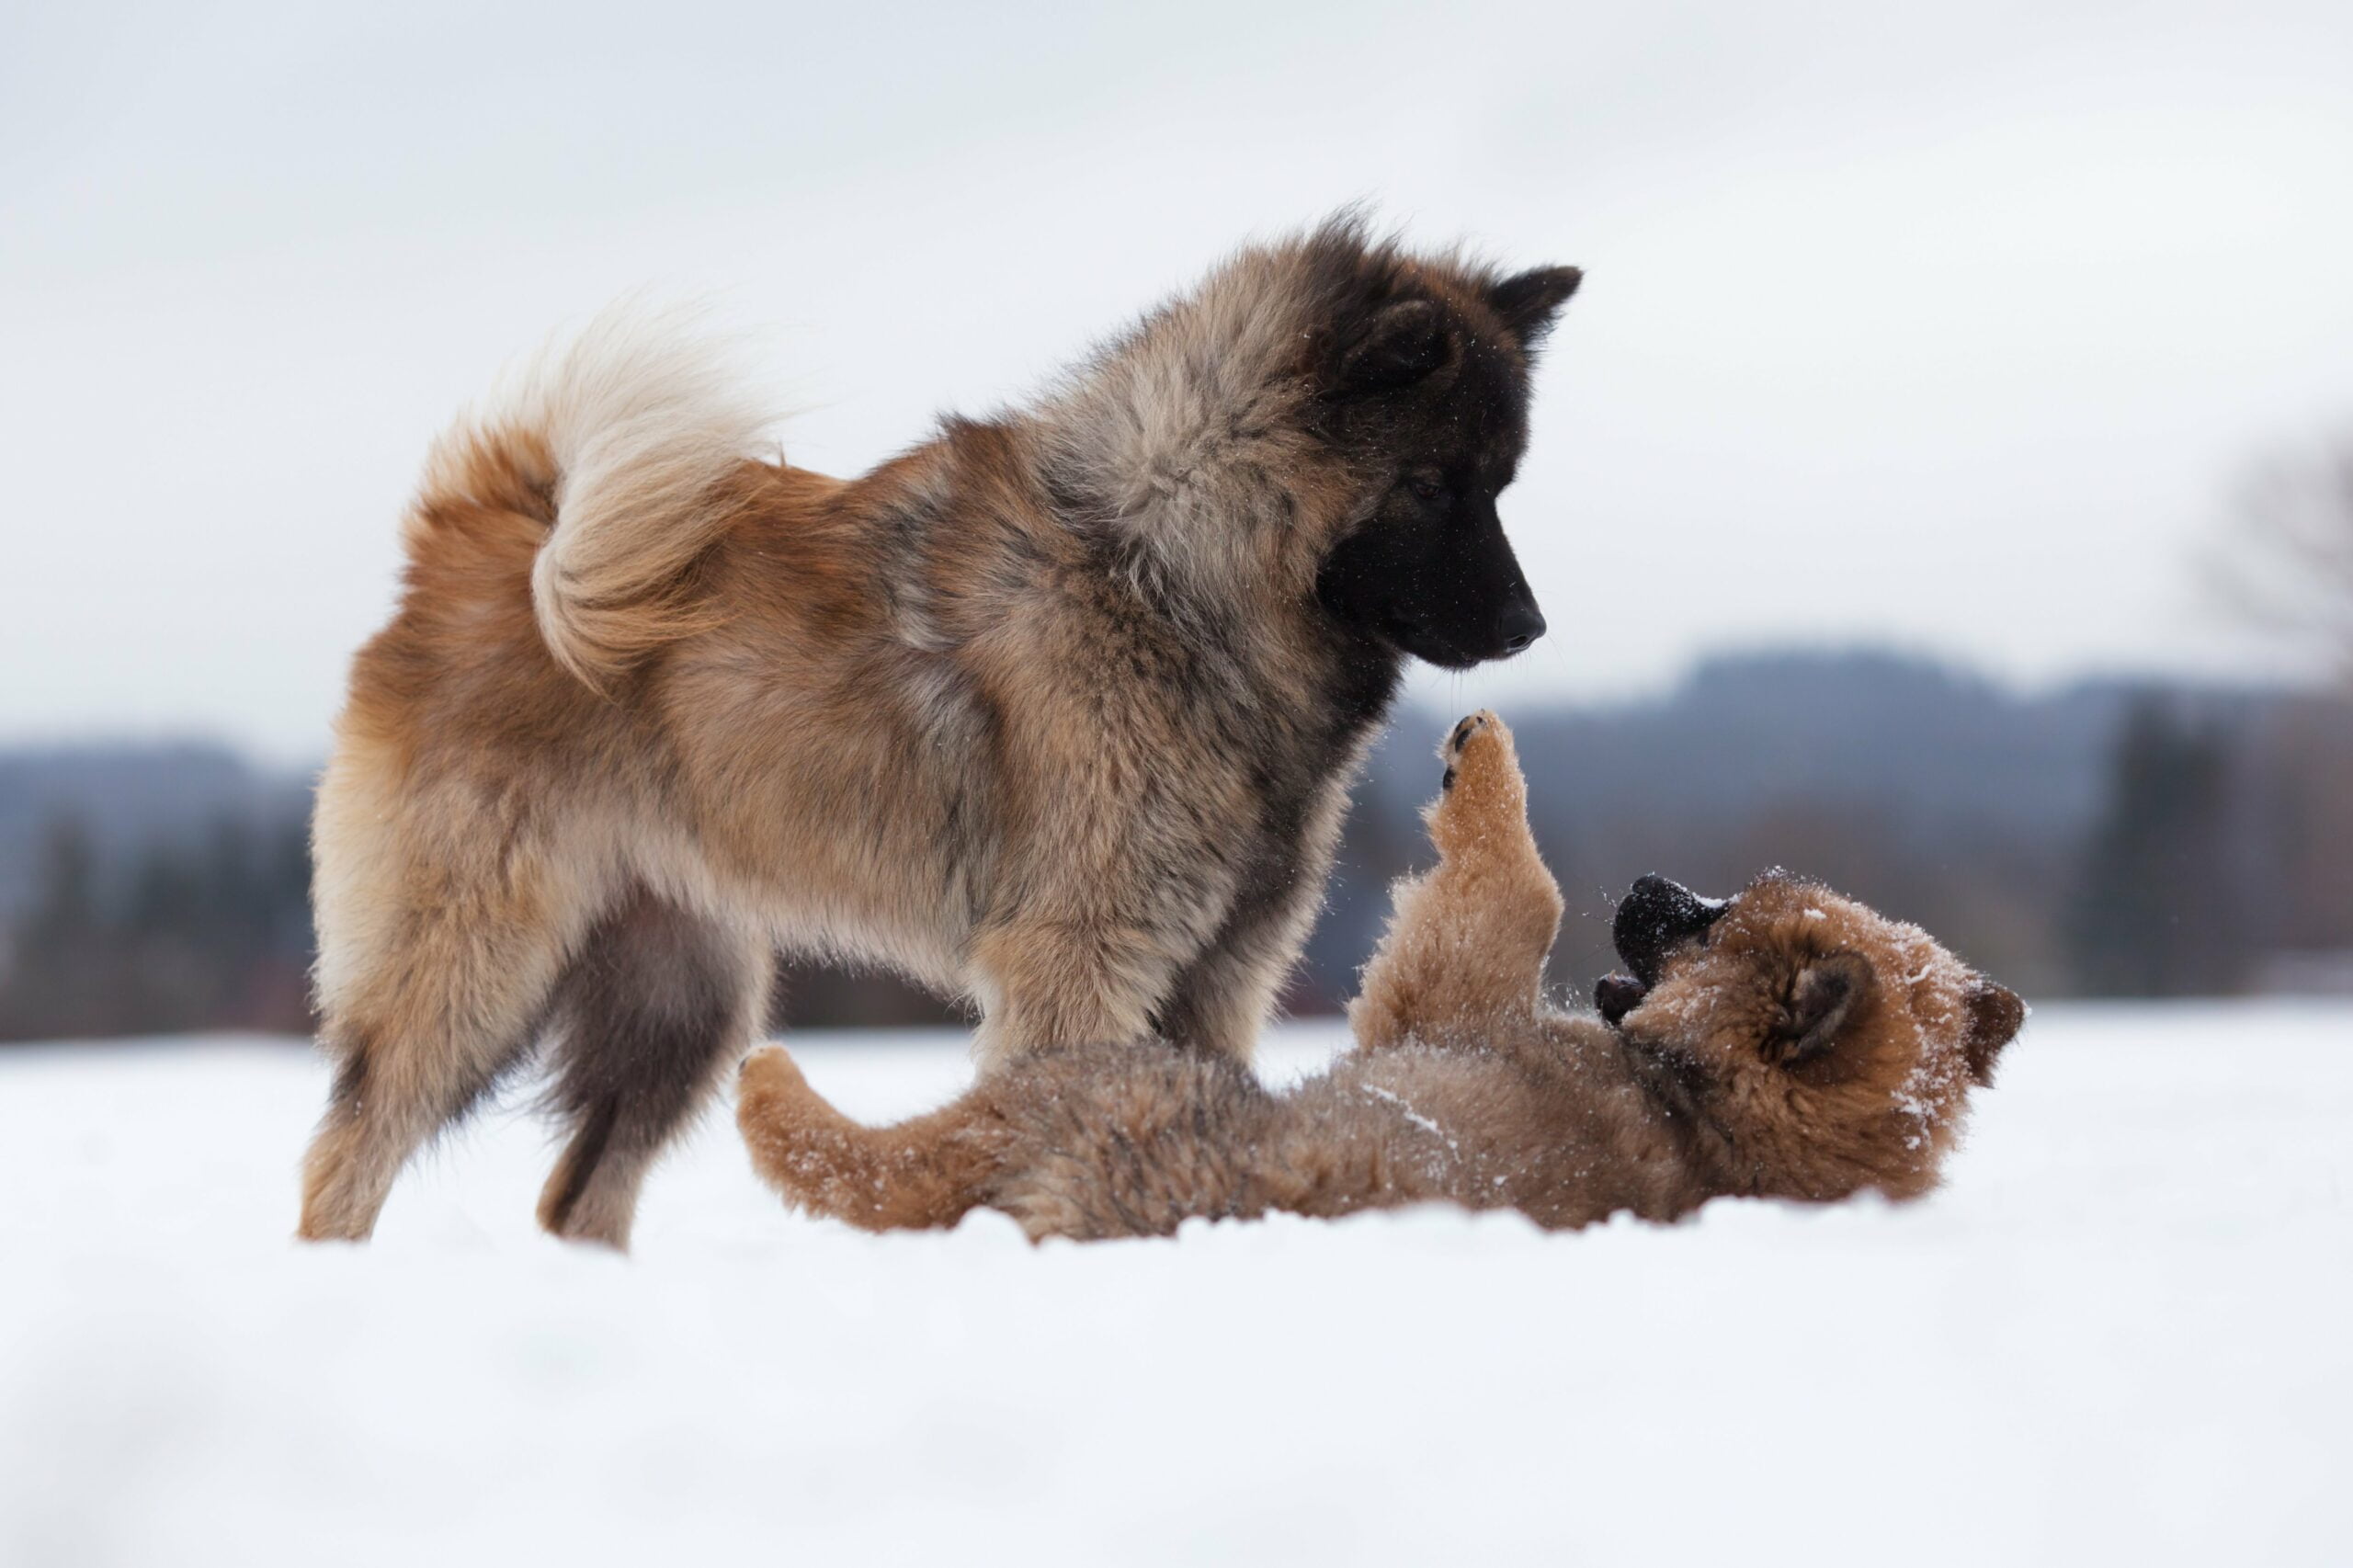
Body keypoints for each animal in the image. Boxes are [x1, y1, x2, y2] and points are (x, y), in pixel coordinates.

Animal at [294, 220, 1581, 1243]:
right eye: (1435, 485)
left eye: (1502, 483)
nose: (1529, 625)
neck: (1163, 569)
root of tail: (476, 542)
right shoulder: (1083, 958)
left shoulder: (1222, 967)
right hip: (472, 972)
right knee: (345, 1160)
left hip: (680, 1006)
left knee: (578, 1198)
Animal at [733, 715, 2023, 1243]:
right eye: (1733, 894)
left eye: (1715, 925)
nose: (1648, 883)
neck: (1711, 1111)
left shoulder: (1446, 990)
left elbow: (1520, 890)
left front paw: (1481, 760)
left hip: (1096, 1078)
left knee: (864, 1152)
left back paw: (769, 1080)